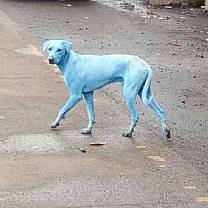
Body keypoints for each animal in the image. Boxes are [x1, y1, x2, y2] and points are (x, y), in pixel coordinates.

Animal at [42, 40, 171, 138]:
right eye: (50, 49)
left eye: (59, 50)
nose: (50, 60)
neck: (70, 61)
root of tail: (143, 63)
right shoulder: (88, 94)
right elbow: (91, 115)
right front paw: (88, 130)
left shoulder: (75, 96)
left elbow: (62, 110)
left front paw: (55, 123)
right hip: (144, 93)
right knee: (160, 111)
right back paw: (167, 131)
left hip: (129, 94)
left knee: (136, 116)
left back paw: (129, 132)